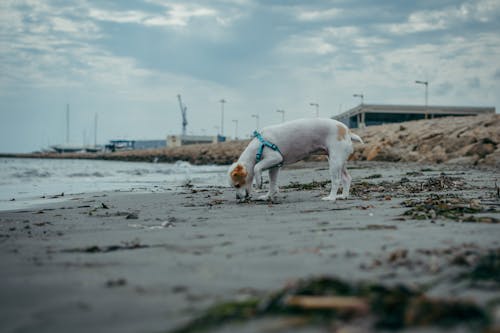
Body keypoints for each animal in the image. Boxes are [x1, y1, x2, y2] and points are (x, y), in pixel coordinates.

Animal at [228, 118, 364, 201]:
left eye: (237, 185)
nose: (237, 198)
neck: (259, 146)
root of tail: (347, 131)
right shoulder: (274, 167)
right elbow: (272, 184)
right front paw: (268, 196)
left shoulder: (275, 157)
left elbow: (257, 167)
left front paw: (259, 182)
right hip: (339, 161)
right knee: (346, 178)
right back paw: (343, 196)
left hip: (335, 162)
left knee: (336, 180)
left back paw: (331, 198)